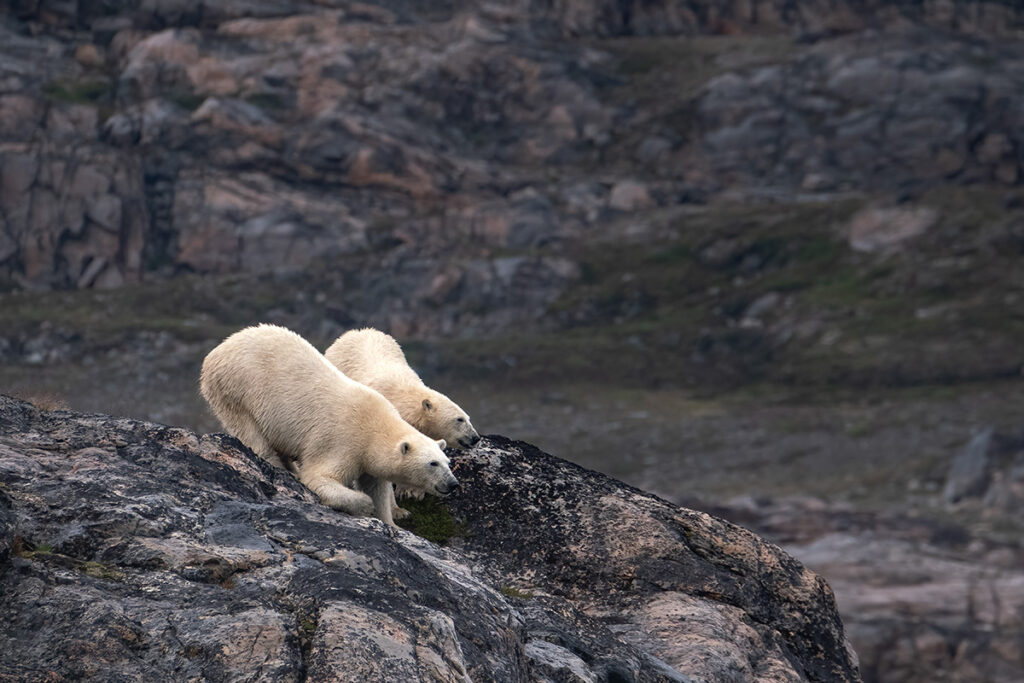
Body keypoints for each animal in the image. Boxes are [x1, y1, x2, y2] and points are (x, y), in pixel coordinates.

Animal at [199, 323, 456, 528]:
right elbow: (319, 478)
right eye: (432, 463)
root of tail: (219, 349)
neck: (375, 426)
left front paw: (391, 523)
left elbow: (376, 486)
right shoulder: (341, 440)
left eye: (447, 462)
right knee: (252, 435)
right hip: (235, 390)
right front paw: (365, 506)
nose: (452, 484)